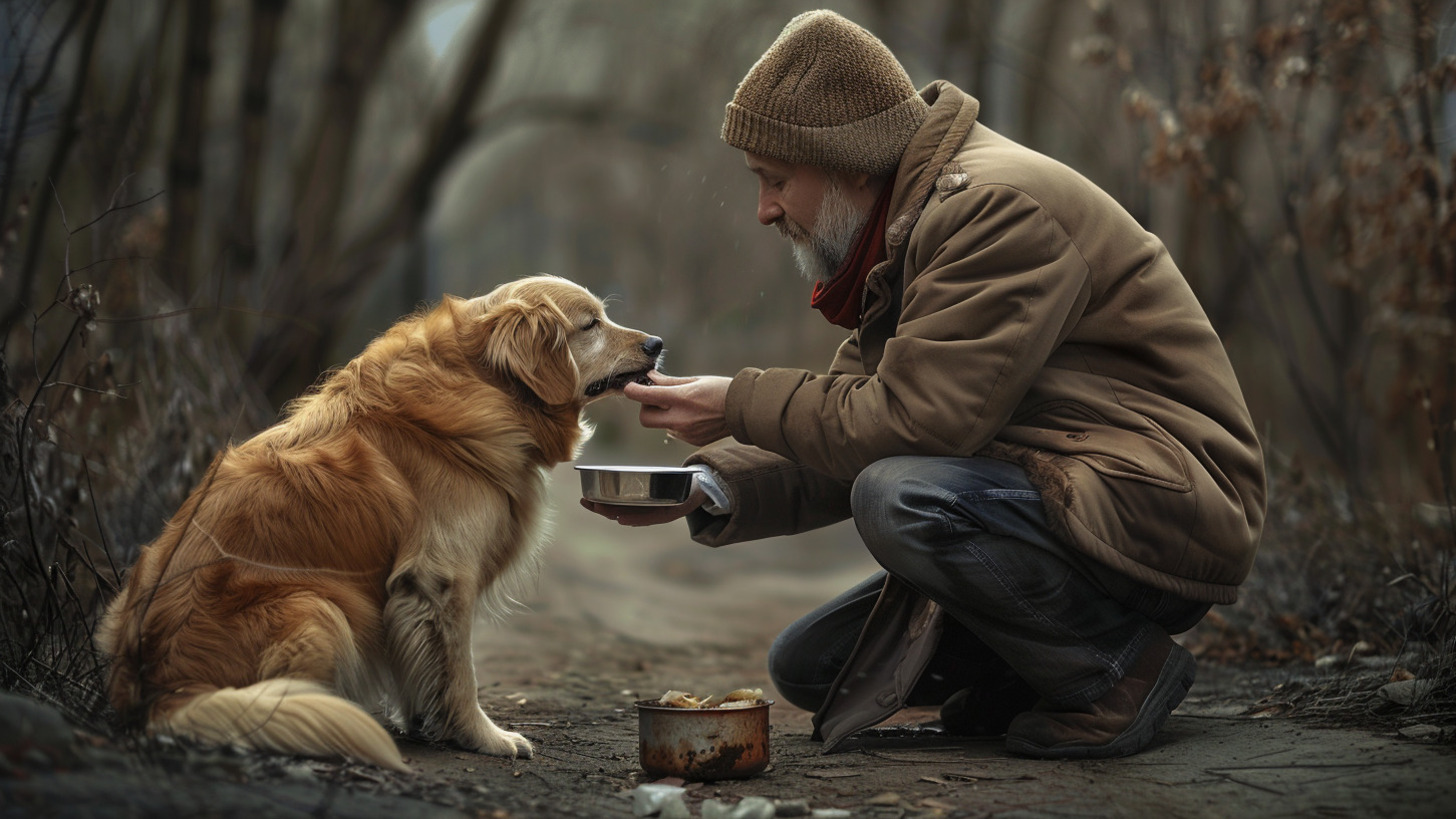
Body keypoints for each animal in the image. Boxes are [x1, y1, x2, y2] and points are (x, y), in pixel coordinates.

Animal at [92, 273, 661, 763]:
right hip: (319, 607)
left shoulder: (413, 593)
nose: (656, 343)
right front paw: (482, 737)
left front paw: (426, 721)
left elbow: (420, 661)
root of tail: (153, 692)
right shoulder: (441, 575)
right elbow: (460, 672)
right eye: (591, 324)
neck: (488, 386)